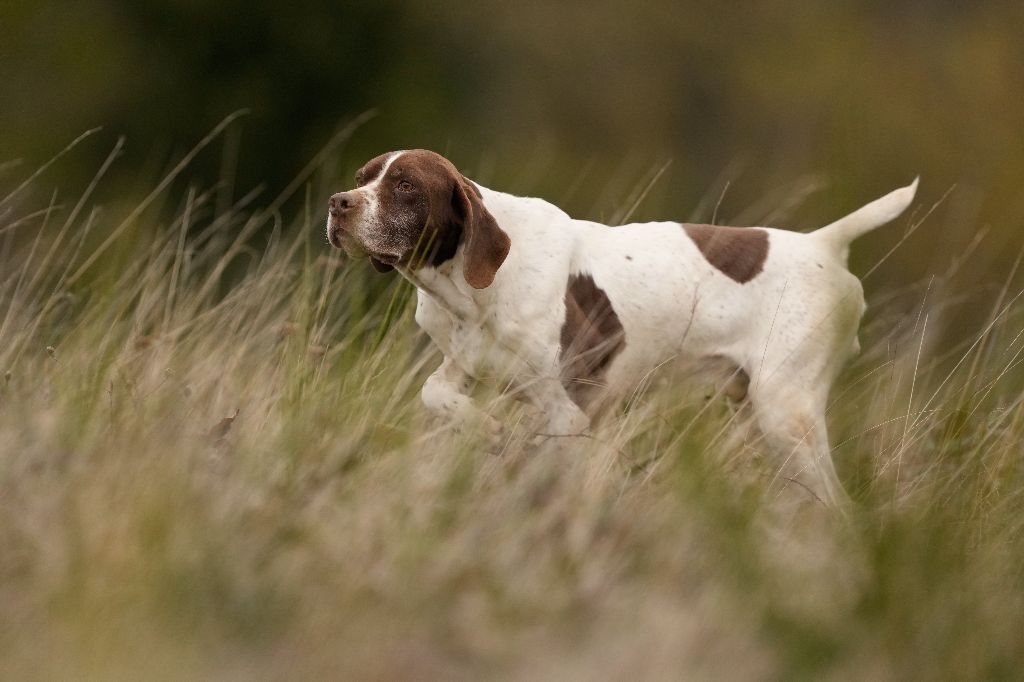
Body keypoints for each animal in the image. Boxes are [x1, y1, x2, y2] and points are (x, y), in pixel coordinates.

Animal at [327, 148, 921, 507]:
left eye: (405, 184)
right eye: (361, 179)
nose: (337, 203)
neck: (471, 291)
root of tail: (826, 241)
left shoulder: (571, 411)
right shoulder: (462, 367)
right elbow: (436, 394)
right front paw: (486, 430)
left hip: (785, 412)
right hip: (759, 412)